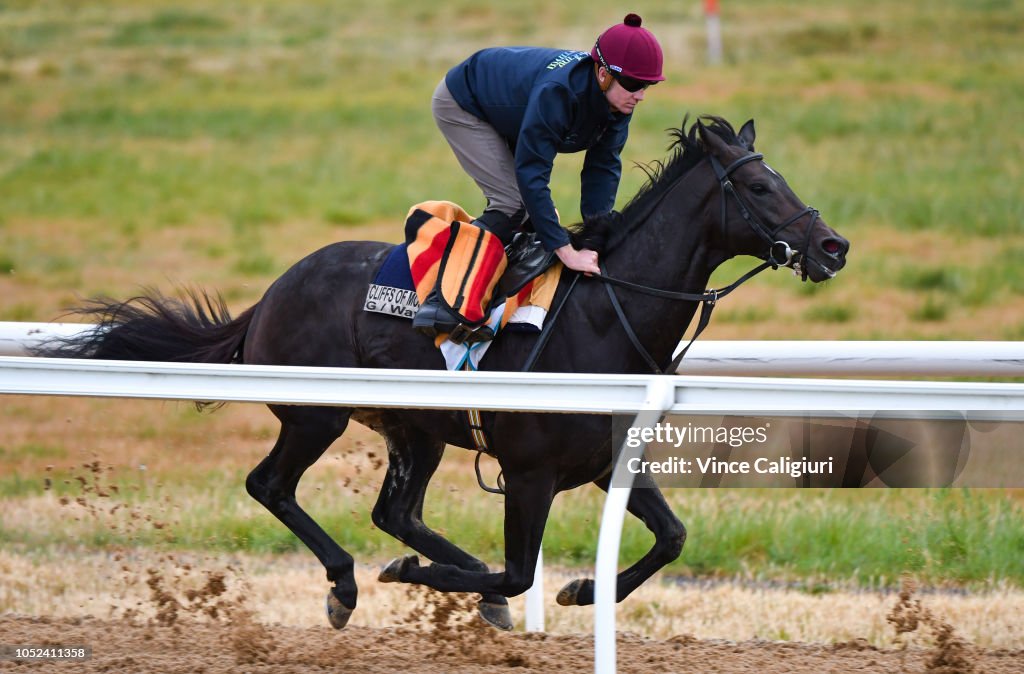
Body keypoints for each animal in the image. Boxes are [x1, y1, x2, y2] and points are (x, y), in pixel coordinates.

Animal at [39, 114, 847, 630]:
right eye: (762, 188)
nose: (833, 246)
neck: (601, 316)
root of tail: (271, 292)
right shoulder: (529, 472)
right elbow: (520, 570)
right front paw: (427, 580)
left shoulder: (606, 456)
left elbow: (672, 537)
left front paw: (582, 589)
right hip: (316, 414)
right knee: (271, 486)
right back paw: (347, 583)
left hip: (415, 428)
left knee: (395, 513)